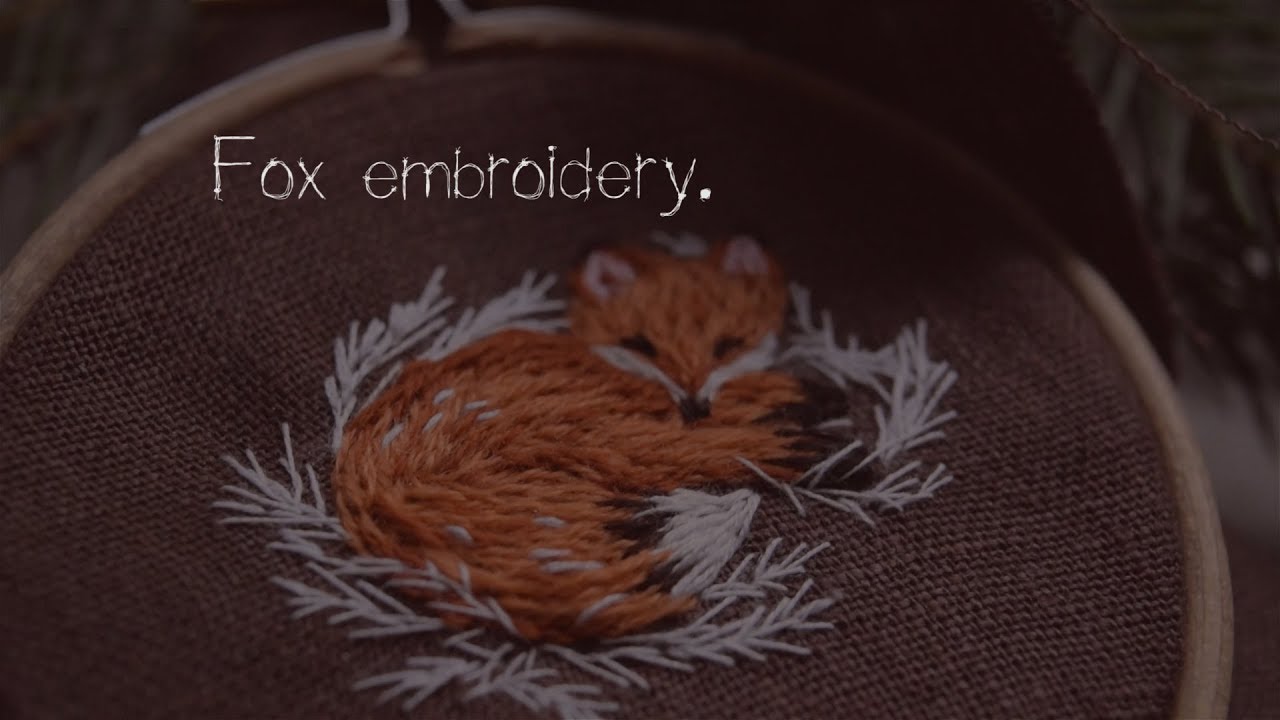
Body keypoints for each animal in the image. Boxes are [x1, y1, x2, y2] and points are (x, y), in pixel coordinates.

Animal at [332, 237, 839, 643]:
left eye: (728, 345)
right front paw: (799, 431)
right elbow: (716, 442)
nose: (694, 404)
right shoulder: (621, 431)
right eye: (641, 344)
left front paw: (796, 396)